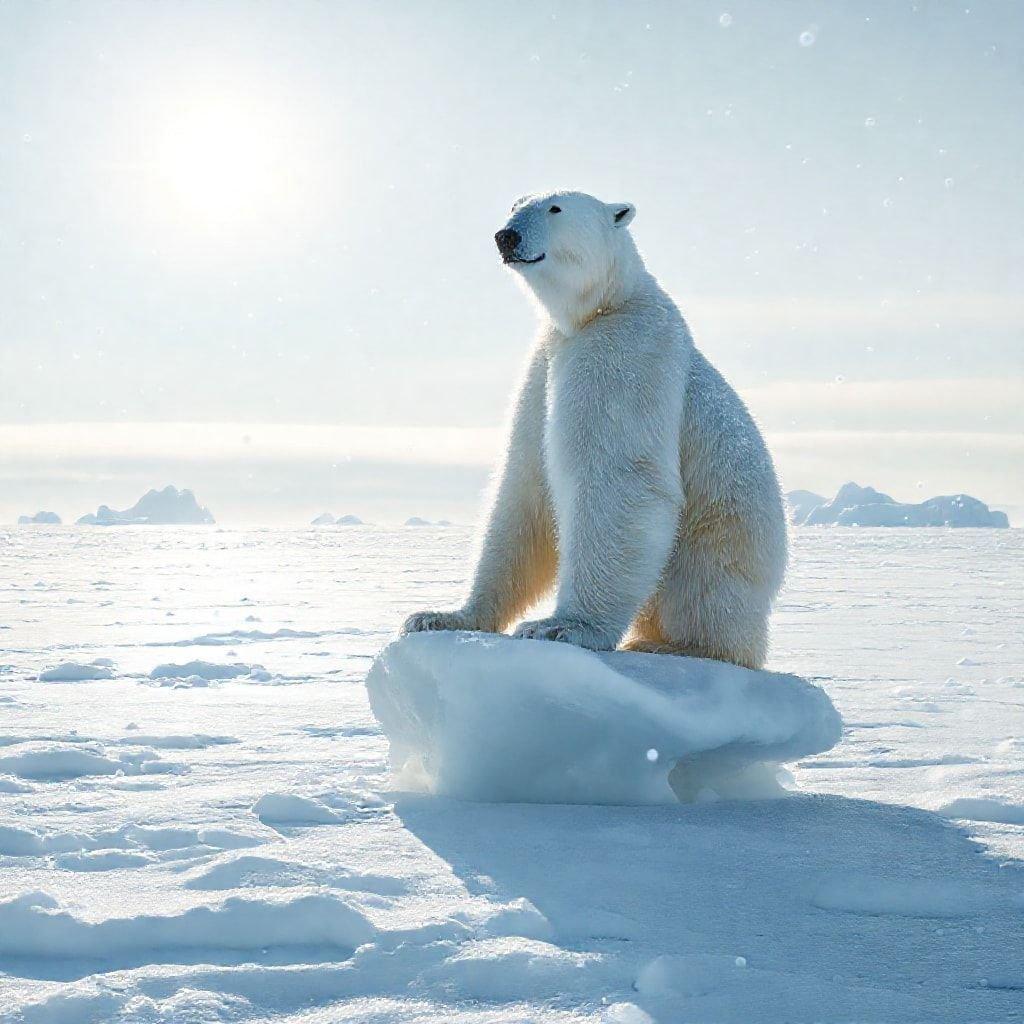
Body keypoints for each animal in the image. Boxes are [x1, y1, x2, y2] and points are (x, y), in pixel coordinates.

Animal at [403, 190, 786, 671]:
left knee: (702, 596)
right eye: (516, 204)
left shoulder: (622, 351)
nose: (507, 236)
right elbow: (524, 487)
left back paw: (669, 644)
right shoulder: (546, 359)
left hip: (717, 545)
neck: (604, 303)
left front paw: (558, 626)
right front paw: (441, 616)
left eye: (556, 208)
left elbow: (616, 478)